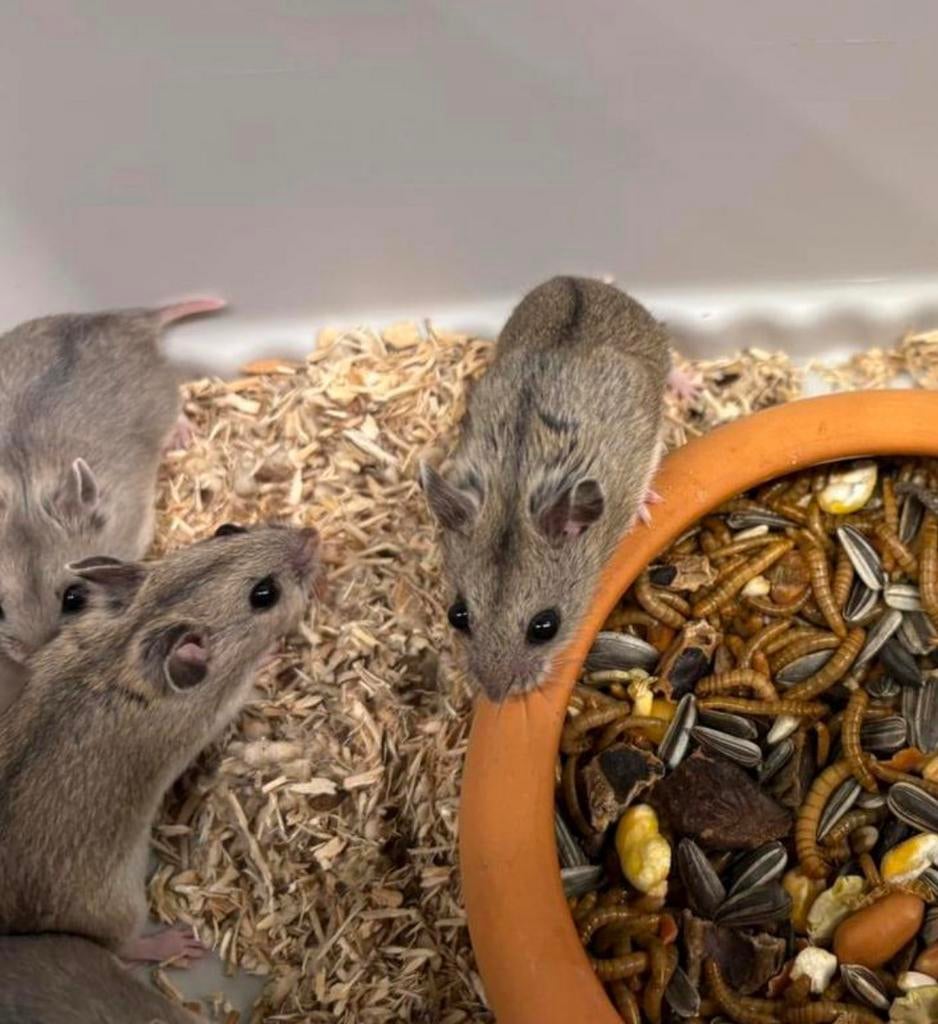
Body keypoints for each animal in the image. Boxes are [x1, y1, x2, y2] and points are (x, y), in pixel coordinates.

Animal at [0, 522, 319, 964]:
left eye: (227, 529)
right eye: (264, 594)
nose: (314, 534)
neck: (135, 631)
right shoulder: (220, 707)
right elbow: (249, 685)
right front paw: (271, 656)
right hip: (119, 906)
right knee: (122, 946)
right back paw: (178, 944)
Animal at [421, 275, 688, 702]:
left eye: (545, 626)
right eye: (457, 615)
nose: (496, 697)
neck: (514, 492)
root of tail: (581, 280)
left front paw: (647, 508)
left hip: (656, 345)